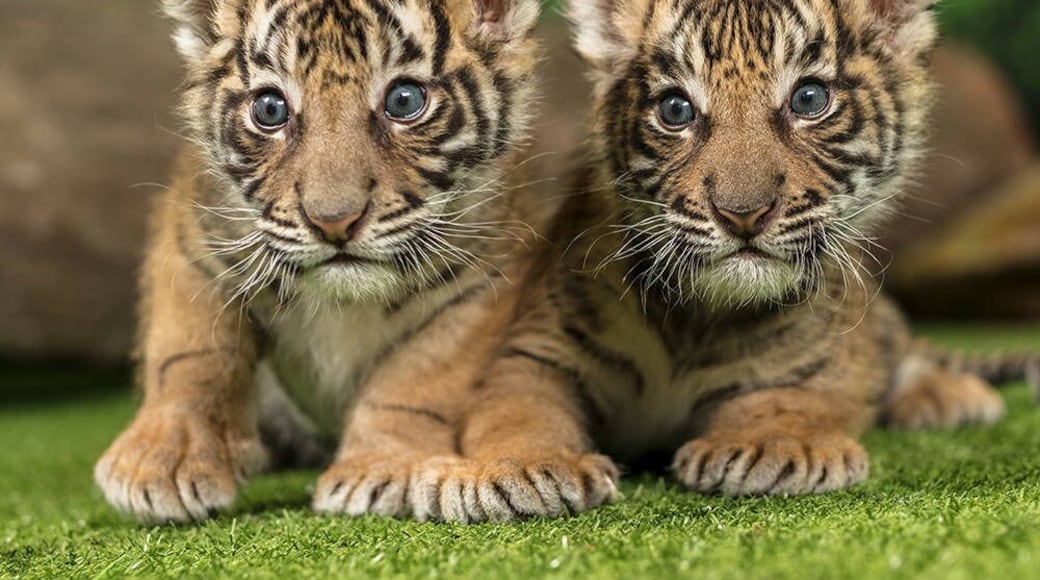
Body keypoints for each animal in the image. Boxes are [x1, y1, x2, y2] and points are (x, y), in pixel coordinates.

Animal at [93, 0, 621, 524]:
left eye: (404, 101)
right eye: (270, 109)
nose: (333, 222)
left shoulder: (482, 280)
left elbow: (417, 377)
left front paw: (377, 469)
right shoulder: (193, 235)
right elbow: (192, 351)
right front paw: (164, 461)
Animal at [453, 0, 1040, 508]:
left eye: (809, 99)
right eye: (675, 110)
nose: (742, 214)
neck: (695, 323)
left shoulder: (825, 360)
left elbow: (794, 399)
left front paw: (768, 448)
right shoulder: (538, 347)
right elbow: (518, 409)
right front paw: (528, 468)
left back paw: (949, 396)